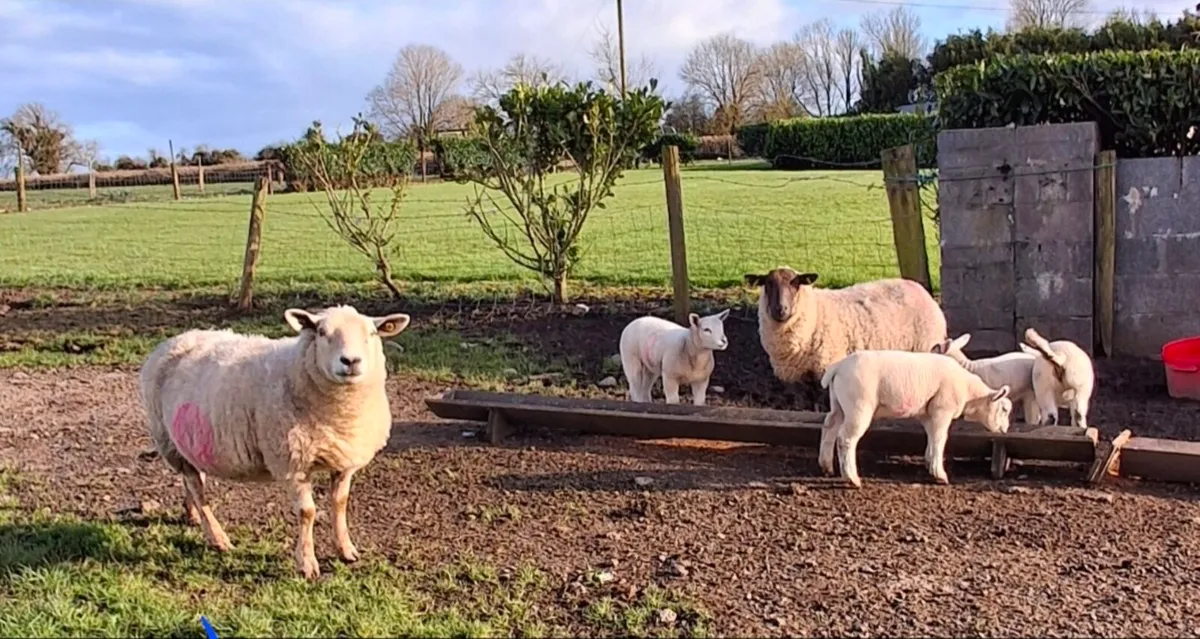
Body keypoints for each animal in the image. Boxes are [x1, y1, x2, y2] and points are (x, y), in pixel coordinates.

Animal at [139, 304, 411, 580]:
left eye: (372, 333)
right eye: (321, 332)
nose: (351, 361)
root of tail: (178, 338)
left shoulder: (344, 460)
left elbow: (340, 503)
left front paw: (346, 550)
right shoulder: (292, 462)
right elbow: (307, 512)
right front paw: (307, 563)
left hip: (189, 441)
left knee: (194, 480)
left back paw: (192, 515)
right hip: (167, 439)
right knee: (195, 486)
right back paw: (217, 537)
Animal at [743, 267, 947, 387]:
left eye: (796, 284)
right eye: (767, 284)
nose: (780, 309)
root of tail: (918, 287)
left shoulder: (826, 368)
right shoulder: (790, 376)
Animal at [819, 350, 1013, 488]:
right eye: (1004, 409)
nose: (1005, 430)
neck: (969, 391)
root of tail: (838, 367)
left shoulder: (927, 413)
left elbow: (932, 437)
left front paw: (929, 462)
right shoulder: (942, 409)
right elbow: (940, 438)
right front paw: (939, 475)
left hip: (838, 404)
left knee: (830, 426)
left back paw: (826, 466)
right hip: (858, 406)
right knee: (846, 439)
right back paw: (852, 478)